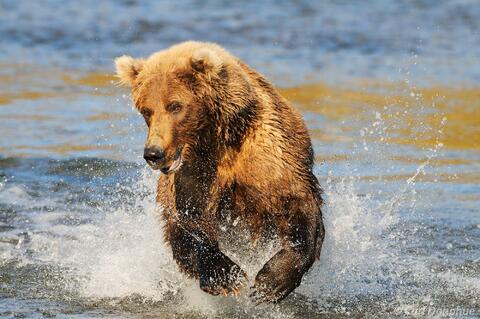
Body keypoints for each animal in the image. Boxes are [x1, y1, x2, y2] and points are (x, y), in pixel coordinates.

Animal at [114, 42, 324, 304]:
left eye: (175, 105)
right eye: (146, 110)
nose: (153, 153)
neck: (216, 137)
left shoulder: (267, 155)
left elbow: (296, 203)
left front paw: (270, 282)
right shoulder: (194, 174)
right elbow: (189, 221)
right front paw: (226, 277)